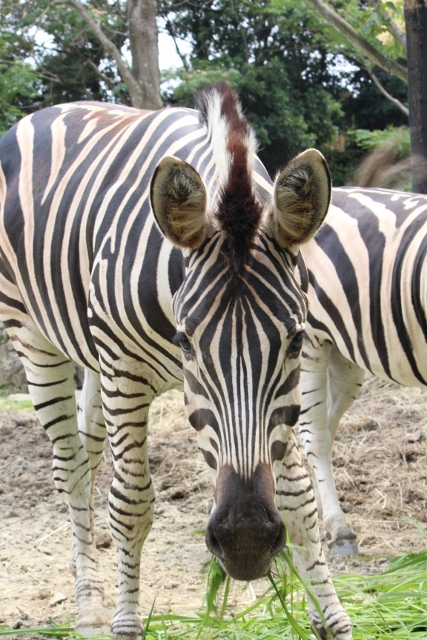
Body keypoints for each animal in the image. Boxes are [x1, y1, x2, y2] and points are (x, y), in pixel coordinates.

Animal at [0, 82, 352, 636]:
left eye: (296, 342)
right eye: (186, 342)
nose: (246, 542)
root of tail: (47, 111)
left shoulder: (276, 406)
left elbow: (299, 501)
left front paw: (332, 618)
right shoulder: (124, 370)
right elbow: (132, 503)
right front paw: (125, 623)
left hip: (93, 358)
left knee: (89, 455)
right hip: (34, 335)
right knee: (72, 468)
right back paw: (90, 604)